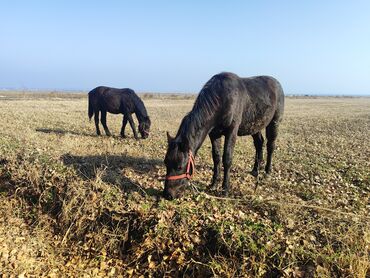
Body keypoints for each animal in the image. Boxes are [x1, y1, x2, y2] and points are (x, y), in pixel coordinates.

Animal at [163, 72, 284, 200]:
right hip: (255, 126)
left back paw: (267, 171)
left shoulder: (231, 131)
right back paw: (255, 170)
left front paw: (225, 188)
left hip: (274, 123)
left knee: (270, 146)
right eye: (166, 163)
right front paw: (214, 184)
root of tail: (277, 84)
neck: (222, 99)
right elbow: (216, 158)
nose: (168, 194)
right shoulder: (214, 134)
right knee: (259, 143)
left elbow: (227, 158)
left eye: (180, 167)